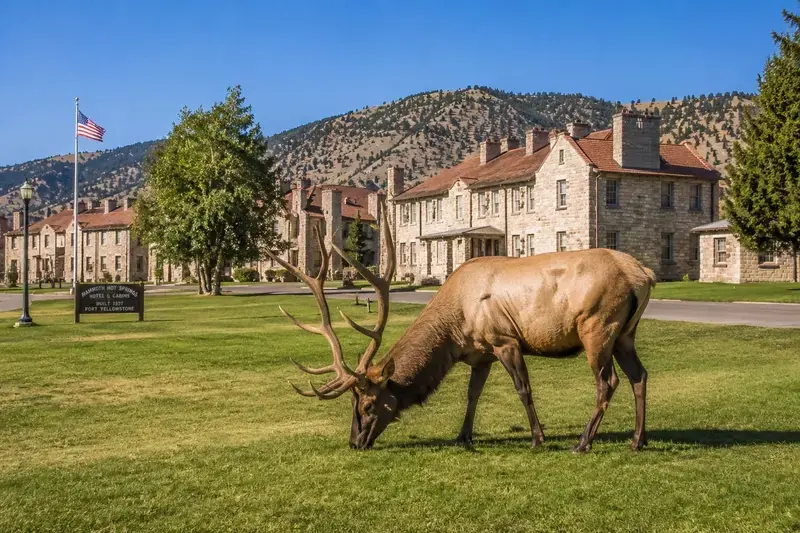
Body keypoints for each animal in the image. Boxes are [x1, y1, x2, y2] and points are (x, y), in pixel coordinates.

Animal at [265, 202, 656, 452]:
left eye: (368, 405)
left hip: (597, 327)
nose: (354, 443)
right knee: (639, 375)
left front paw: (538, 438)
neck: (455, 330)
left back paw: (583, 441)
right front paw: (463, 435)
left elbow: (523, 389)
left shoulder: (504, 340)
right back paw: (638, 439)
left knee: (608, 381)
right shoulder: (481, 354)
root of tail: (643, 275)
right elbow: (472, 395)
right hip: (625, 334)